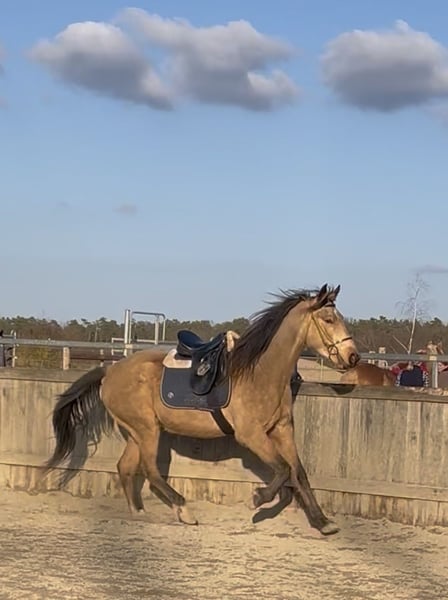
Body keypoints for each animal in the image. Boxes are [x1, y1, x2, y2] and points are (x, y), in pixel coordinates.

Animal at [42, 284, 360, 536]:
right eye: (329, 319)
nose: (353, 357)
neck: (261, 373)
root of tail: (109, 371)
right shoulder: (251, 435)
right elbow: (282, 469)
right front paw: (257, 499)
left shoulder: (282, 430)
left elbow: (298, 472)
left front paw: (323, 522)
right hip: (147, 430)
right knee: (150, 469)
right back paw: (184, 510)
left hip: (136, 431)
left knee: (126, 467)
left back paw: (139, 512)